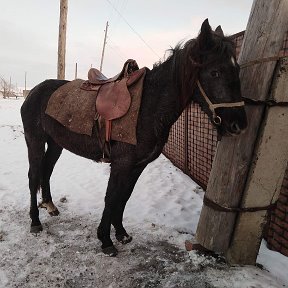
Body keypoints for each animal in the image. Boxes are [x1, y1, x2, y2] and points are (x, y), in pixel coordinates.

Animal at [20, 19, 248, 255]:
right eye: (215, 72)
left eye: (236, 69)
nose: (239, 124)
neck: (149, 105)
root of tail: (34, 91)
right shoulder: (121, 164)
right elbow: (111, 198)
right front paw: (105, 240)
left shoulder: (138, 166)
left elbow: (124, 197)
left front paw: (121, 233)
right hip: (34, 141)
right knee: (33, 176)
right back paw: (35, 221)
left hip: (56, 144)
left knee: (46, 171)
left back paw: (50, 206)